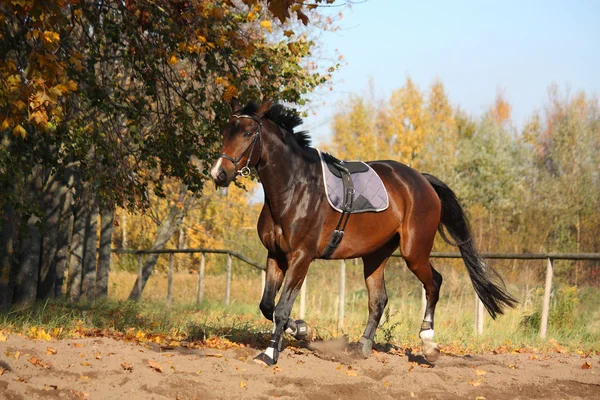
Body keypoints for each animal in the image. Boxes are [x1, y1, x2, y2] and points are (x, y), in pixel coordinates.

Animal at [207, 97, 516, 366]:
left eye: (248, 133)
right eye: (225, 131)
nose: (218, 173)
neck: (294, 188)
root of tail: (422, 180)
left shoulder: (301, 257)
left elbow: (281, 308)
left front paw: (271, 354)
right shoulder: (276, 255)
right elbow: (267, 306)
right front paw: (302, 330)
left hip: (414, 252)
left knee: (434, 283)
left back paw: (429, 344)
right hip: (375, 255)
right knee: (378, 299)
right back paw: (363, 347)